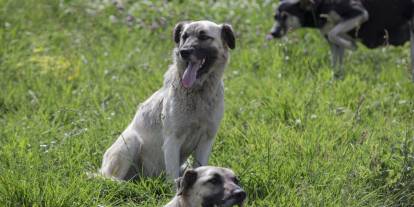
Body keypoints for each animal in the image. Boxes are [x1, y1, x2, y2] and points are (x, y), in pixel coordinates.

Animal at [99, 20, 236, 180]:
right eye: (184, 36)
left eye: (203, 37)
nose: (184, 52)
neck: (198, 93)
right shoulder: (172, 141)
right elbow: (172, 176)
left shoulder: (206, 140)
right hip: (131, 140)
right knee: (111, 179)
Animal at [266, 0, 414, 80]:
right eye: (275, 17)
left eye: (285, 16)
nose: (272, 33)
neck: (320, 5)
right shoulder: (333, 43)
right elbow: (336, 63)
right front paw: (335, 79)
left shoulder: (359, 13)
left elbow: (334, 33)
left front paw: (352, 45)